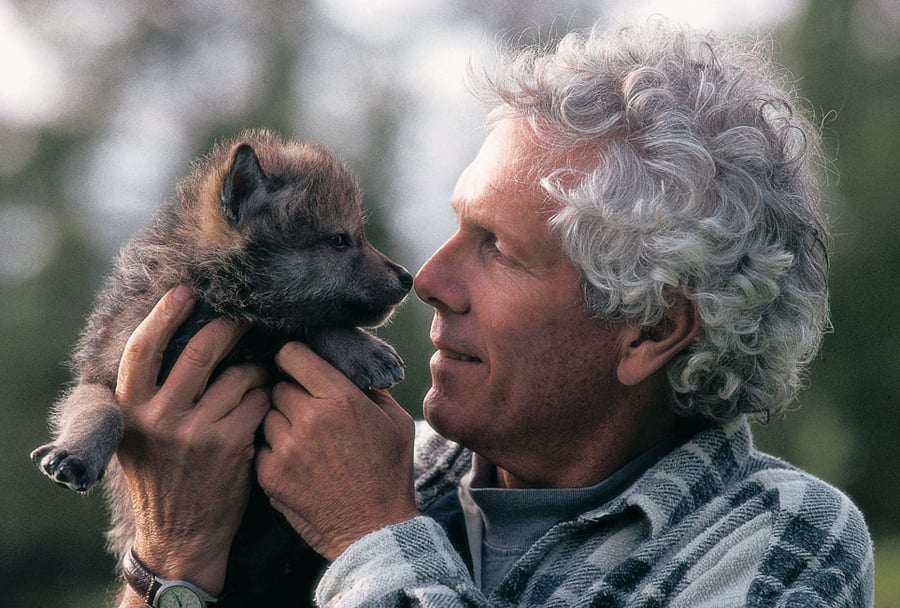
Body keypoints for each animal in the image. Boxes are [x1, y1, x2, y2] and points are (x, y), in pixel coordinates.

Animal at [30, 129, 413, 605]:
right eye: (339, 240)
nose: (408, 279)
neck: (217, 295)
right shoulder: (106, 371)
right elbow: (102, 410)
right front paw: (74, 454)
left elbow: (298, 326)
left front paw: (360, 348)